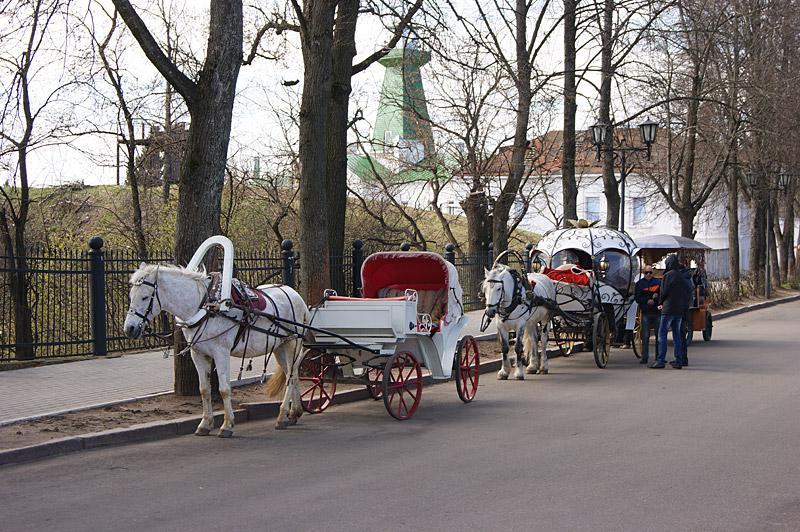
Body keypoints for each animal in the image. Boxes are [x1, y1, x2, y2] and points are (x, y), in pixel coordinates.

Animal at [123, 262, 310, 436]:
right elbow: (204, 390)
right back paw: (294, 413)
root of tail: (297, 296)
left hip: (292, 344)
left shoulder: (221, 353)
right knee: (293, 375)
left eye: (145, 297)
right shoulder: (198, 354)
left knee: (291, 377)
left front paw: (227, 425)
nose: (129, 329)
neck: (205, 307)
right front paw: (205, 424)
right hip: (280, 347)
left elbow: (224, 389)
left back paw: (282, 416)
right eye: (131, 296)